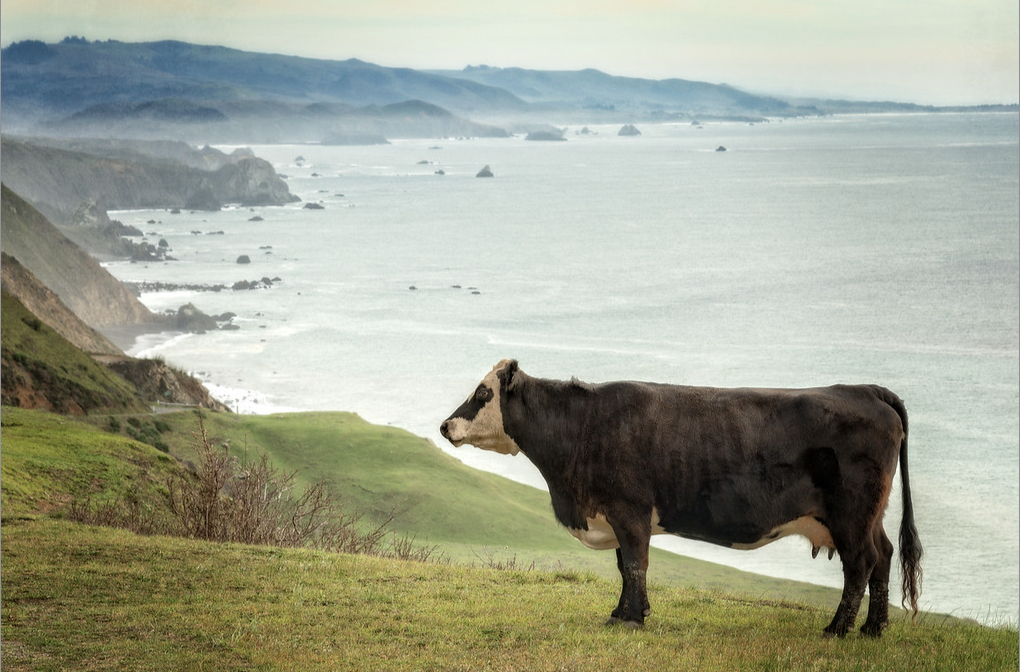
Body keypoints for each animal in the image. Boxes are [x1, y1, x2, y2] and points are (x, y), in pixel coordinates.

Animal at [440, 359, 923, 638]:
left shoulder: (630, 511)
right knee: (883, 556)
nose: (445, 426)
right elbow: (625, 567)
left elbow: (636, 563)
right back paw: (873, 629)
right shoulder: (619, 516)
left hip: (850, 513)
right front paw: (621, 613)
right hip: (868, 515)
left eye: (483, 393)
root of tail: (865, 389)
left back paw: (837, 629)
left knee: (860, 564)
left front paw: (633, 619)